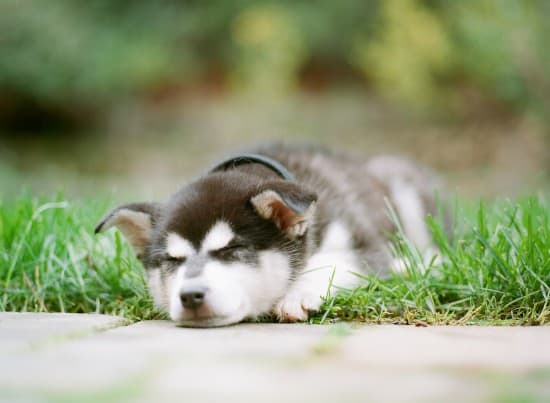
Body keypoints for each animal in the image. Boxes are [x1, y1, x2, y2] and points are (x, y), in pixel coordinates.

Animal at [96, 145, 448, 328]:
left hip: (402, 179)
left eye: (231, 249)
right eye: (172, 260)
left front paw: (297, 293)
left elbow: (333, 260)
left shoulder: (366, 246)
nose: (190, 296)